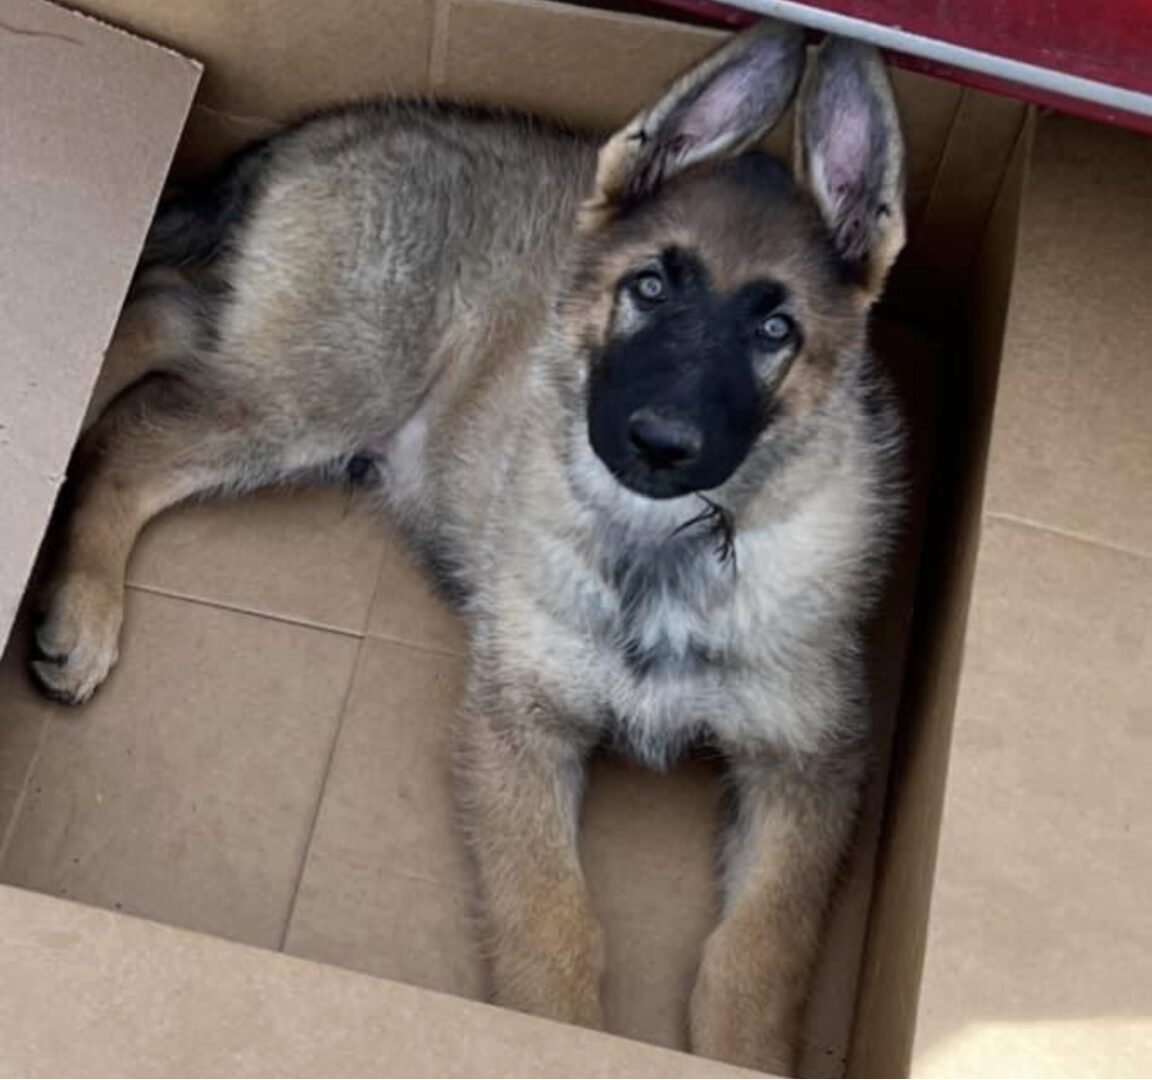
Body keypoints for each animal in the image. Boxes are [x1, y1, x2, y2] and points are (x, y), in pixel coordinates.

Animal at [29, 23, 907, 1068]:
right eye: (648, 286)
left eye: (777, 329)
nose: (659, 442)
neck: (664, 545)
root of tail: (349, 119)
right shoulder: (515, 724)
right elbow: (552, 927)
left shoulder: (809, 765)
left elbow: (758, 955)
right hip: (329, 386)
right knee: (138, 428)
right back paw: (81, 602)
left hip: (295, 360)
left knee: (161, 306)